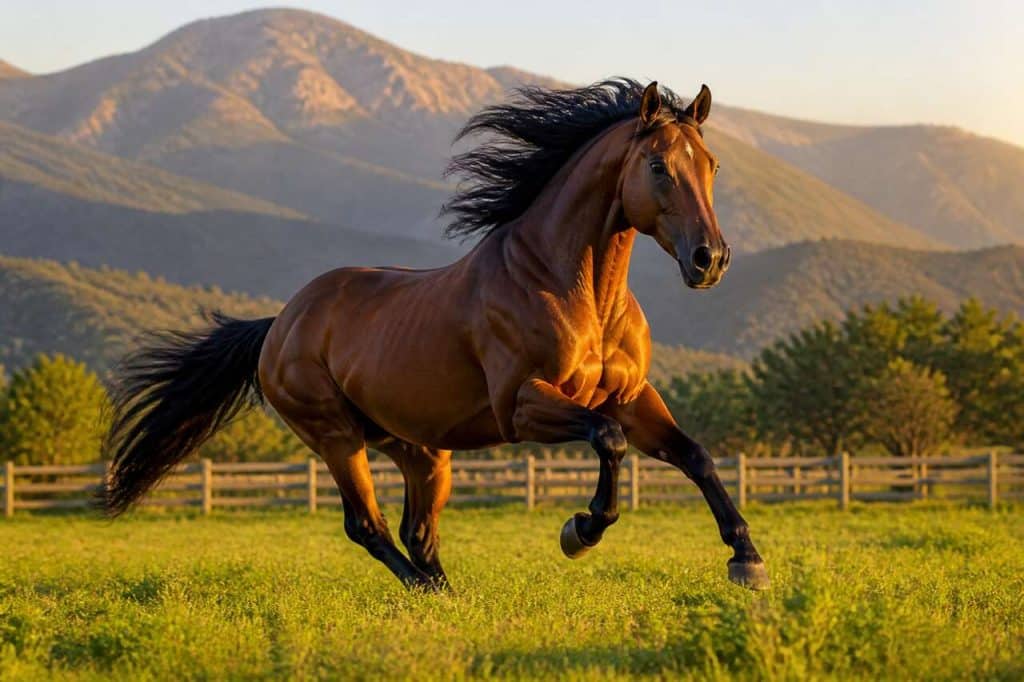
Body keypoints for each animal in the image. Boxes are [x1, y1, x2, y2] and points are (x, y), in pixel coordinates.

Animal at [102, 78, 769, 592]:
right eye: (658, 166)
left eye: (710, 165)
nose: (710, 260)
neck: (573, 290)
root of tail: (279, 325)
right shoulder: (524, 406)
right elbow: (609, 441)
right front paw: (579, 531)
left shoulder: (631, 397)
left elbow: (693, 454)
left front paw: (747, 560)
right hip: (335, 436)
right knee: (367, 526)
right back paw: (426, 591)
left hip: (419, 449)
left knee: (417, 532)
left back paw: (444, 594)